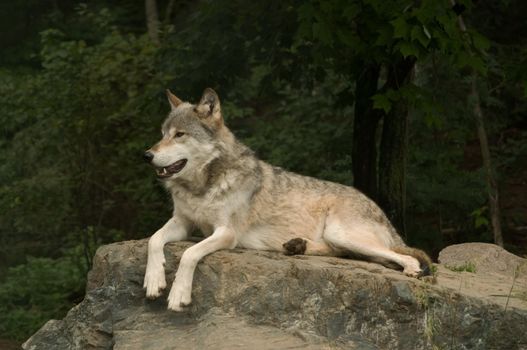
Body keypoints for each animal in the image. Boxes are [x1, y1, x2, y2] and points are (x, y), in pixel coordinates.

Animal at [142, 88, 432, 312]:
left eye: (180, 135)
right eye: (162, 134)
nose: (147, 155)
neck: (202, 187)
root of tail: (379, 209)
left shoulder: (226, 233)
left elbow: (189, 254)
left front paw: (178, 294)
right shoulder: (182, 222)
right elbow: (154, 239)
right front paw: (154, 280)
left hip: (343, 233)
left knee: (404, 257)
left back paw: (411, 271)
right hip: (339, 238)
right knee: (346, 252)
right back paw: (297, 246)